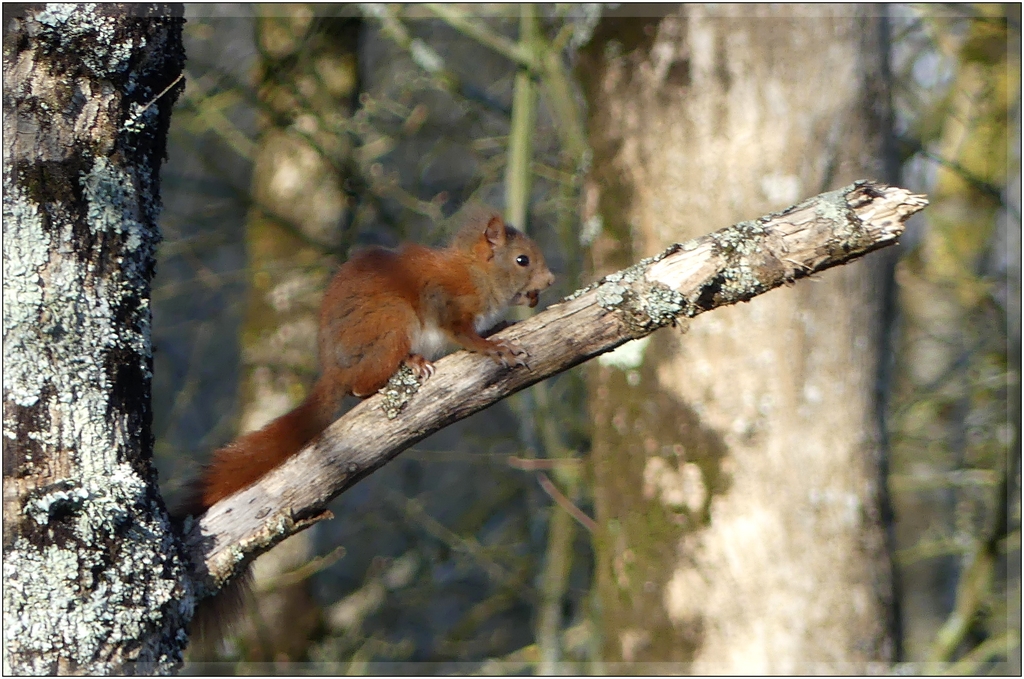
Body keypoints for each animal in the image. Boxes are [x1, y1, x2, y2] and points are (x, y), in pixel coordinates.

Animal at [180, 204, 557, 518]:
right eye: (522, 260)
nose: (550, 280)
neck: (477, 272)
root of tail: (334, 370)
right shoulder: (446, 303)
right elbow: (464, 335)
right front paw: (493, 347)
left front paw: (500, 326)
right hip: (392, 323)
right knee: (361, 386)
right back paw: (409, 364)